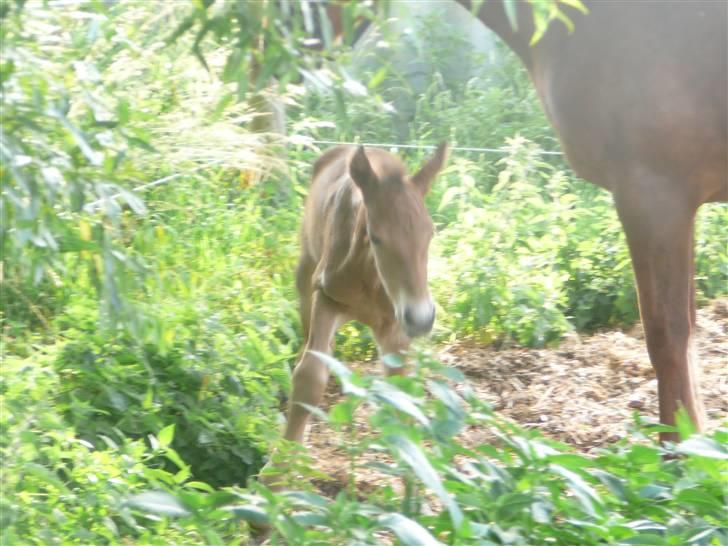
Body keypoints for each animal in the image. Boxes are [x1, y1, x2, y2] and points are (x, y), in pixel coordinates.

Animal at [272, 143, 446, 454]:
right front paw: (281, 463)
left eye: (430, 233)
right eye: (375, 237)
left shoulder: (394, 322)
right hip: (306, 274)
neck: (370, 276)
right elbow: (308, 377)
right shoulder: (326, 297)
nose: (421, 319)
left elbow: (401, 393)